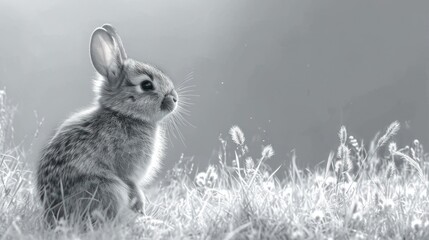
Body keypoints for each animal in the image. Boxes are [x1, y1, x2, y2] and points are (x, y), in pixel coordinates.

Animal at [36, 23, 178, 226]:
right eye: (146, 85)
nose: (174, 99)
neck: (124, 114)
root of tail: (54, 214)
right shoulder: (127, 171)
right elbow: (132, 186)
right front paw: (141, 208)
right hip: (109, 188)